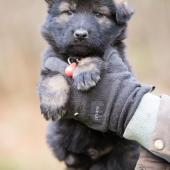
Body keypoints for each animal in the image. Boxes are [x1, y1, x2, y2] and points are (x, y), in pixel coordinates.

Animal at [38, 0, 139, 169]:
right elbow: (52, 77)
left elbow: (96, 56)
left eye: (98, 14)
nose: (80, 34)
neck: (77, 56)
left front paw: (85, 71)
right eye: (69, 12)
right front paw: (52, 104)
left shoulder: (115, 55)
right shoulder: (51, 59)